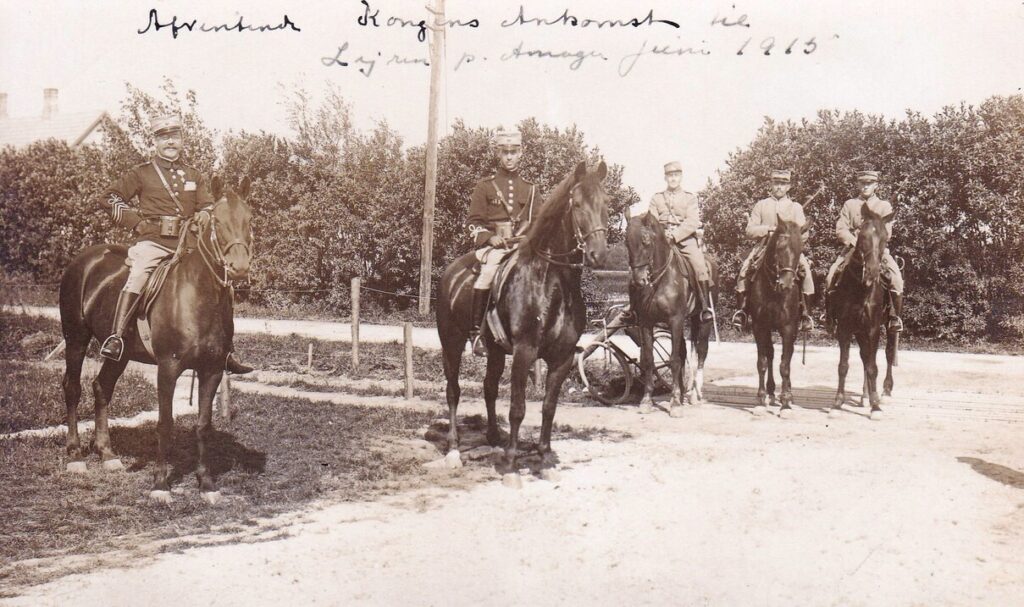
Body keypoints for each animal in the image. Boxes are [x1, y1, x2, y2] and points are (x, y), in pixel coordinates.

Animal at [59, 175, 253, 501]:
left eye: (249, 219)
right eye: (217, 221)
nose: (239, 268)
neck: (198, 296)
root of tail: (84, 260)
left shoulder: (212, 370)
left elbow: (203, 424)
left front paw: (206, 484)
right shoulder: (168, 368)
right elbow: (165, 423)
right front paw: (161, 483)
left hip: (121, 354)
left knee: (102, 388)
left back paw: (108, 454)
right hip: (75, 339)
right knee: (73, 388)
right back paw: (75, 455)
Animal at [434, 160, 606, 472]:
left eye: (606, 203)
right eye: (576, 204)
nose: (598, 254)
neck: (551, 282)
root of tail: (451, 274)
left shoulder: (563, 357)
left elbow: (549, 407)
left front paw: (545, 455)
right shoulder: (525, 351)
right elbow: (518, 407)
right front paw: (512, 460)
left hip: (494, 351)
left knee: (489, 387)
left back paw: (493, 436)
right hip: (451, 342)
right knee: (453, 390)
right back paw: (453, 448)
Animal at [622, 212, 712, 417]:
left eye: (646, 241)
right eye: (626, 242)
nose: (638, 281)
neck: (660, 280)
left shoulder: (675, 321)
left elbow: (674, 360)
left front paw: (675, 404)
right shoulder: (646, 323)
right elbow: (649, 360)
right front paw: (647, 401)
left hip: (703, 321)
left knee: (701, 351)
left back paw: (695, 395)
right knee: (684, 351)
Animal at [745, 217, 806, 417]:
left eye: (800, 249)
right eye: (779, 246)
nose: (786, 284)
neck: (773, 289)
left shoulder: (788, 328)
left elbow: (785, 365)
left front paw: (786, 403)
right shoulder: (759, 327)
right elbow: (762, 362)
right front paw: (760, 400)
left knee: (786, 356)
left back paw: (787, 394)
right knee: (771, 354)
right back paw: (771, 393)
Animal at [823, 205, 897, 419]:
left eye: (885, 238)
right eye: (863, 236)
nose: (872, 273)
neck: (860, 288)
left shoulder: (873, 329)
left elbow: (873, 367)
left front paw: (876, 407)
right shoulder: (845, 329)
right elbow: (844, 366)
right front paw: (837, 403)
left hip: (889, 328)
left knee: (888, 354)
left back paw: (883, 392)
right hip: (859, 331)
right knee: (864, 357)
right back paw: (866, 396)